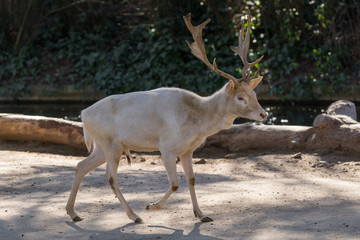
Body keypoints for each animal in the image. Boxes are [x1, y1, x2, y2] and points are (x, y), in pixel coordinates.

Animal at [65, 12, 268, 223]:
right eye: (240, 97)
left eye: (254, 94)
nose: (264, 113)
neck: (196, 124)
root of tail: (83, 114)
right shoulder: (167, 147)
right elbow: (175, 183)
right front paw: (152, 206)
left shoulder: (188, 150)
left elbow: (191, 179)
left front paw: (201, 214)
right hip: (110, 143)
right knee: (110, 176)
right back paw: (134, 215)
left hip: (101, 146)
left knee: (81, 166)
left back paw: (73, 213)